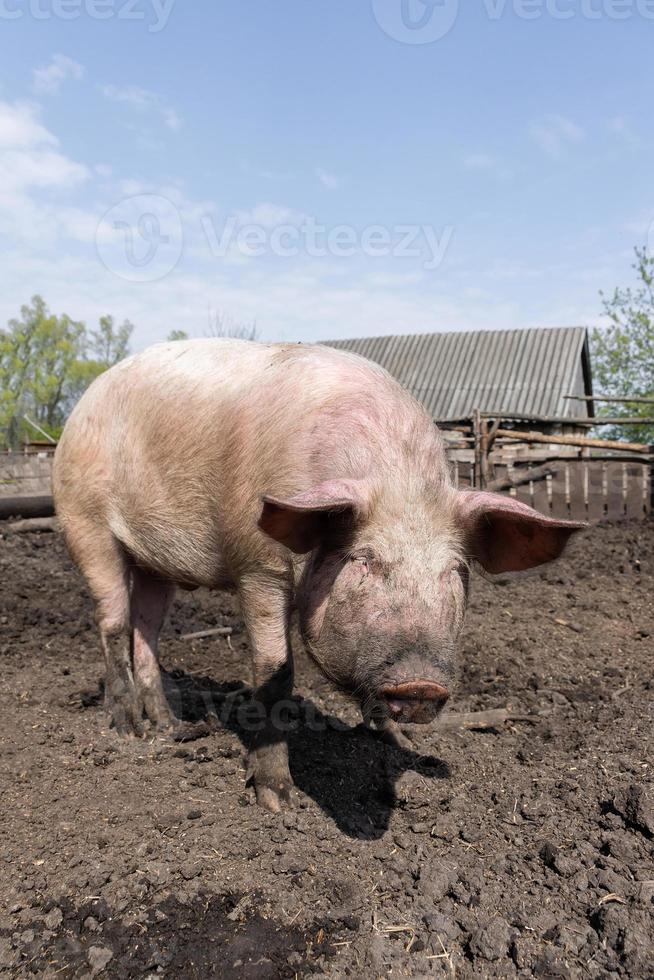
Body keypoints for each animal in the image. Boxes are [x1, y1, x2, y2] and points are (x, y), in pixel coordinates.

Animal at [52, 338, 584, 812]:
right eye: (362, 559)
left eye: (455, 569)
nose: (421, 683)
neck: (392, 474)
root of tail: (82, 405)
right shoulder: (257, 565)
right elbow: (275, 671)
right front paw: (277, 801)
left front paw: (396, 742)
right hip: (84, 521)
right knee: (113, 622)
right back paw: (130, 729)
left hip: (153, 565)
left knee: (148, 631)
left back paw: (172, 726)